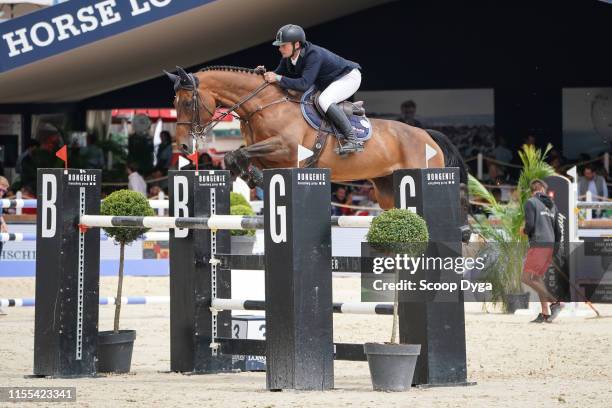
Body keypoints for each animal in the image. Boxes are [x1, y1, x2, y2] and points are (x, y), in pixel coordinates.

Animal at [164, 65, 468, 212]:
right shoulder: (267, 154)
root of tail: (426, 134)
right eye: (174, 102)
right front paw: (252, 178)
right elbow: (235, 156)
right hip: (386, 189)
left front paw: (254, 179)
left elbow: (237, 154)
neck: (262, 104)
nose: (184, 146)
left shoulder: (287, 150)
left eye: (188, 102)